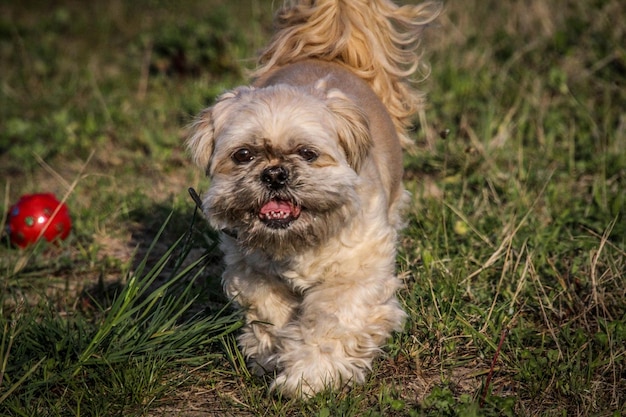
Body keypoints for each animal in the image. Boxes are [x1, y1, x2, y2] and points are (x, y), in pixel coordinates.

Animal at [185, 0, 438, 396]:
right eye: (243, 155)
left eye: (307, 153)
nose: (275, 173)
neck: (297, 243)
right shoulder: (253, 272)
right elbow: (270, 315)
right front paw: (272, 355)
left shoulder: (354, 274)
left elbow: (331, 323)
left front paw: (309, 376)